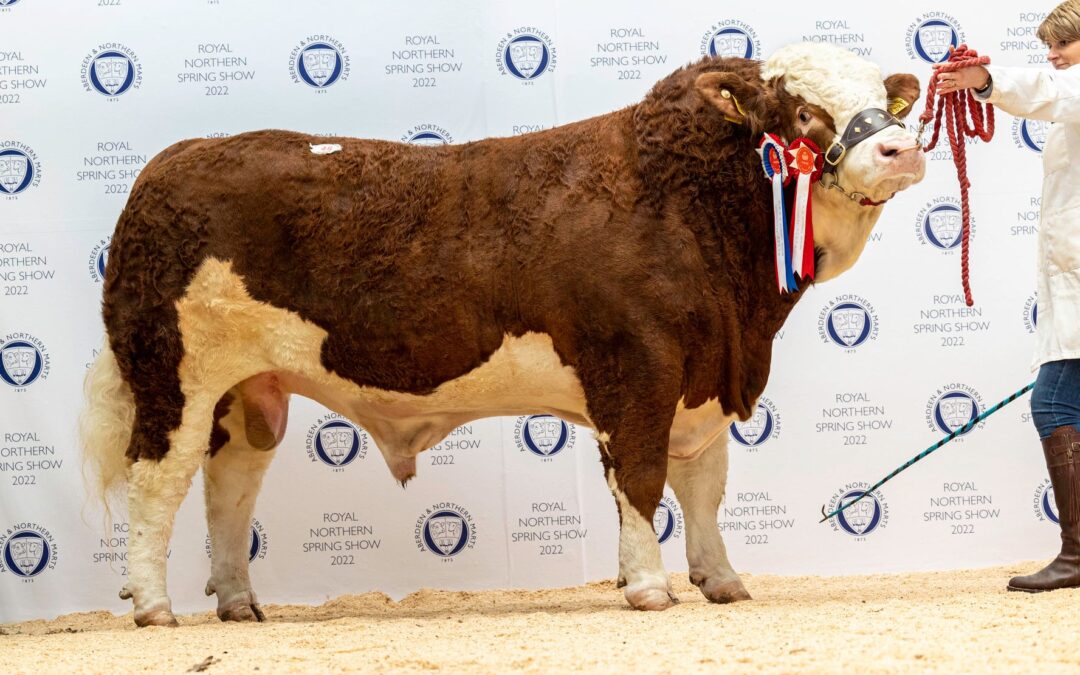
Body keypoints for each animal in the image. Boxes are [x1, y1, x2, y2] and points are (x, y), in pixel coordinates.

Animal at [79, 43, 924, 626]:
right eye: (804, 112)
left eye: (887, 101)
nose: (901, 150)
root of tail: (173, 161)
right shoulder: (638, 372)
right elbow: (643, 479)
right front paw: (648, 586)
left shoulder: (703, 379)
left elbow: (705, 488)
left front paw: (721, 579)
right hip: (173, 376)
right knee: (159, 479)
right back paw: (153, 605)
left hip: (248, 390)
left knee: (230, 483)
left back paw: (238, 602)